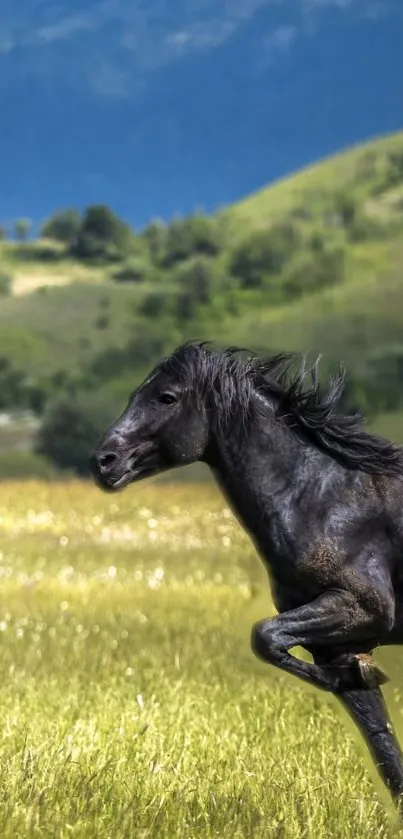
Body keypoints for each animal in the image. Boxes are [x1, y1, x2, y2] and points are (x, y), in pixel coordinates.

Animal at [90, 340, 403, 808]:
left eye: (166, 397)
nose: (103, 462)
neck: (322, 498)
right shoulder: (338, 641)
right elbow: (384, 751)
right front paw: (360, 672)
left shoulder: (363, 607)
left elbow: (264, 636)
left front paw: (364, 671)